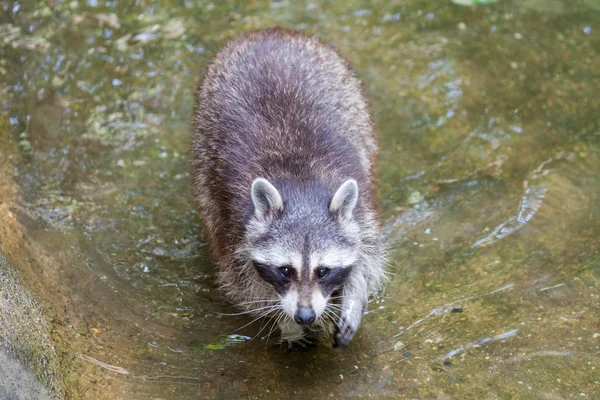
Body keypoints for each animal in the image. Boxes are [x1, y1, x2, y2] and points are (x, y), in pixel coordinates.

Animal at [193, 28, 390, 346]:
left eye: (323, 271)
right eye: (286, 270)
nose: (305, 315)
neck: (301, 184)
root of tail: (267, 32)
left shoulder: (361, 210)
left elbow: (367, 257)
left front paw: (353, 297)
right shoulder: (234, 224)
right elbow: (246, 286)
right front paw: (286, 323)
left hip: (352, 98)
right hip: (204, 144)